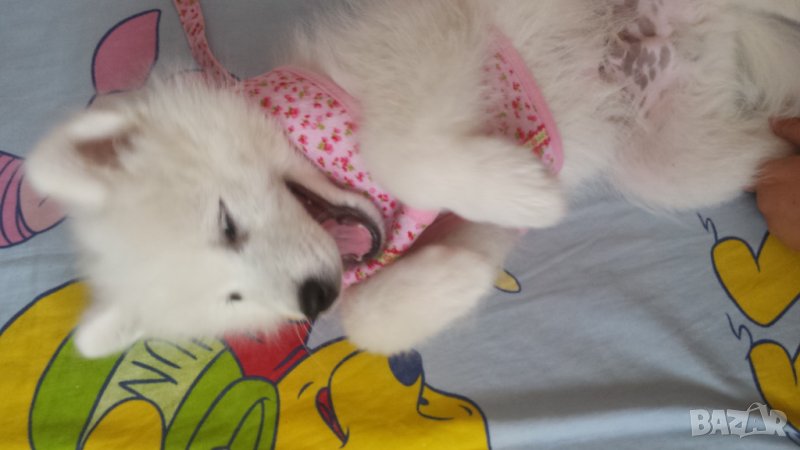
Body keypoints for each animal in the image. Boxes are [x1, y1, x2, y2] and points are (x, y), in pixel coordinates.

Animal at [27, 0, 800, 357]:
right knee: (756, 143)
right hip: (678, 161)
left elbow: (399, 146)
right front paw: (459, 277)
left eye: (227, 223)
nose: (314, 297)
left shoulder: (433, 31)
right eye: (234, 300)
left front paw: (525, 190)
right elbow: (373, 320)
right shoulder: (452, 224)